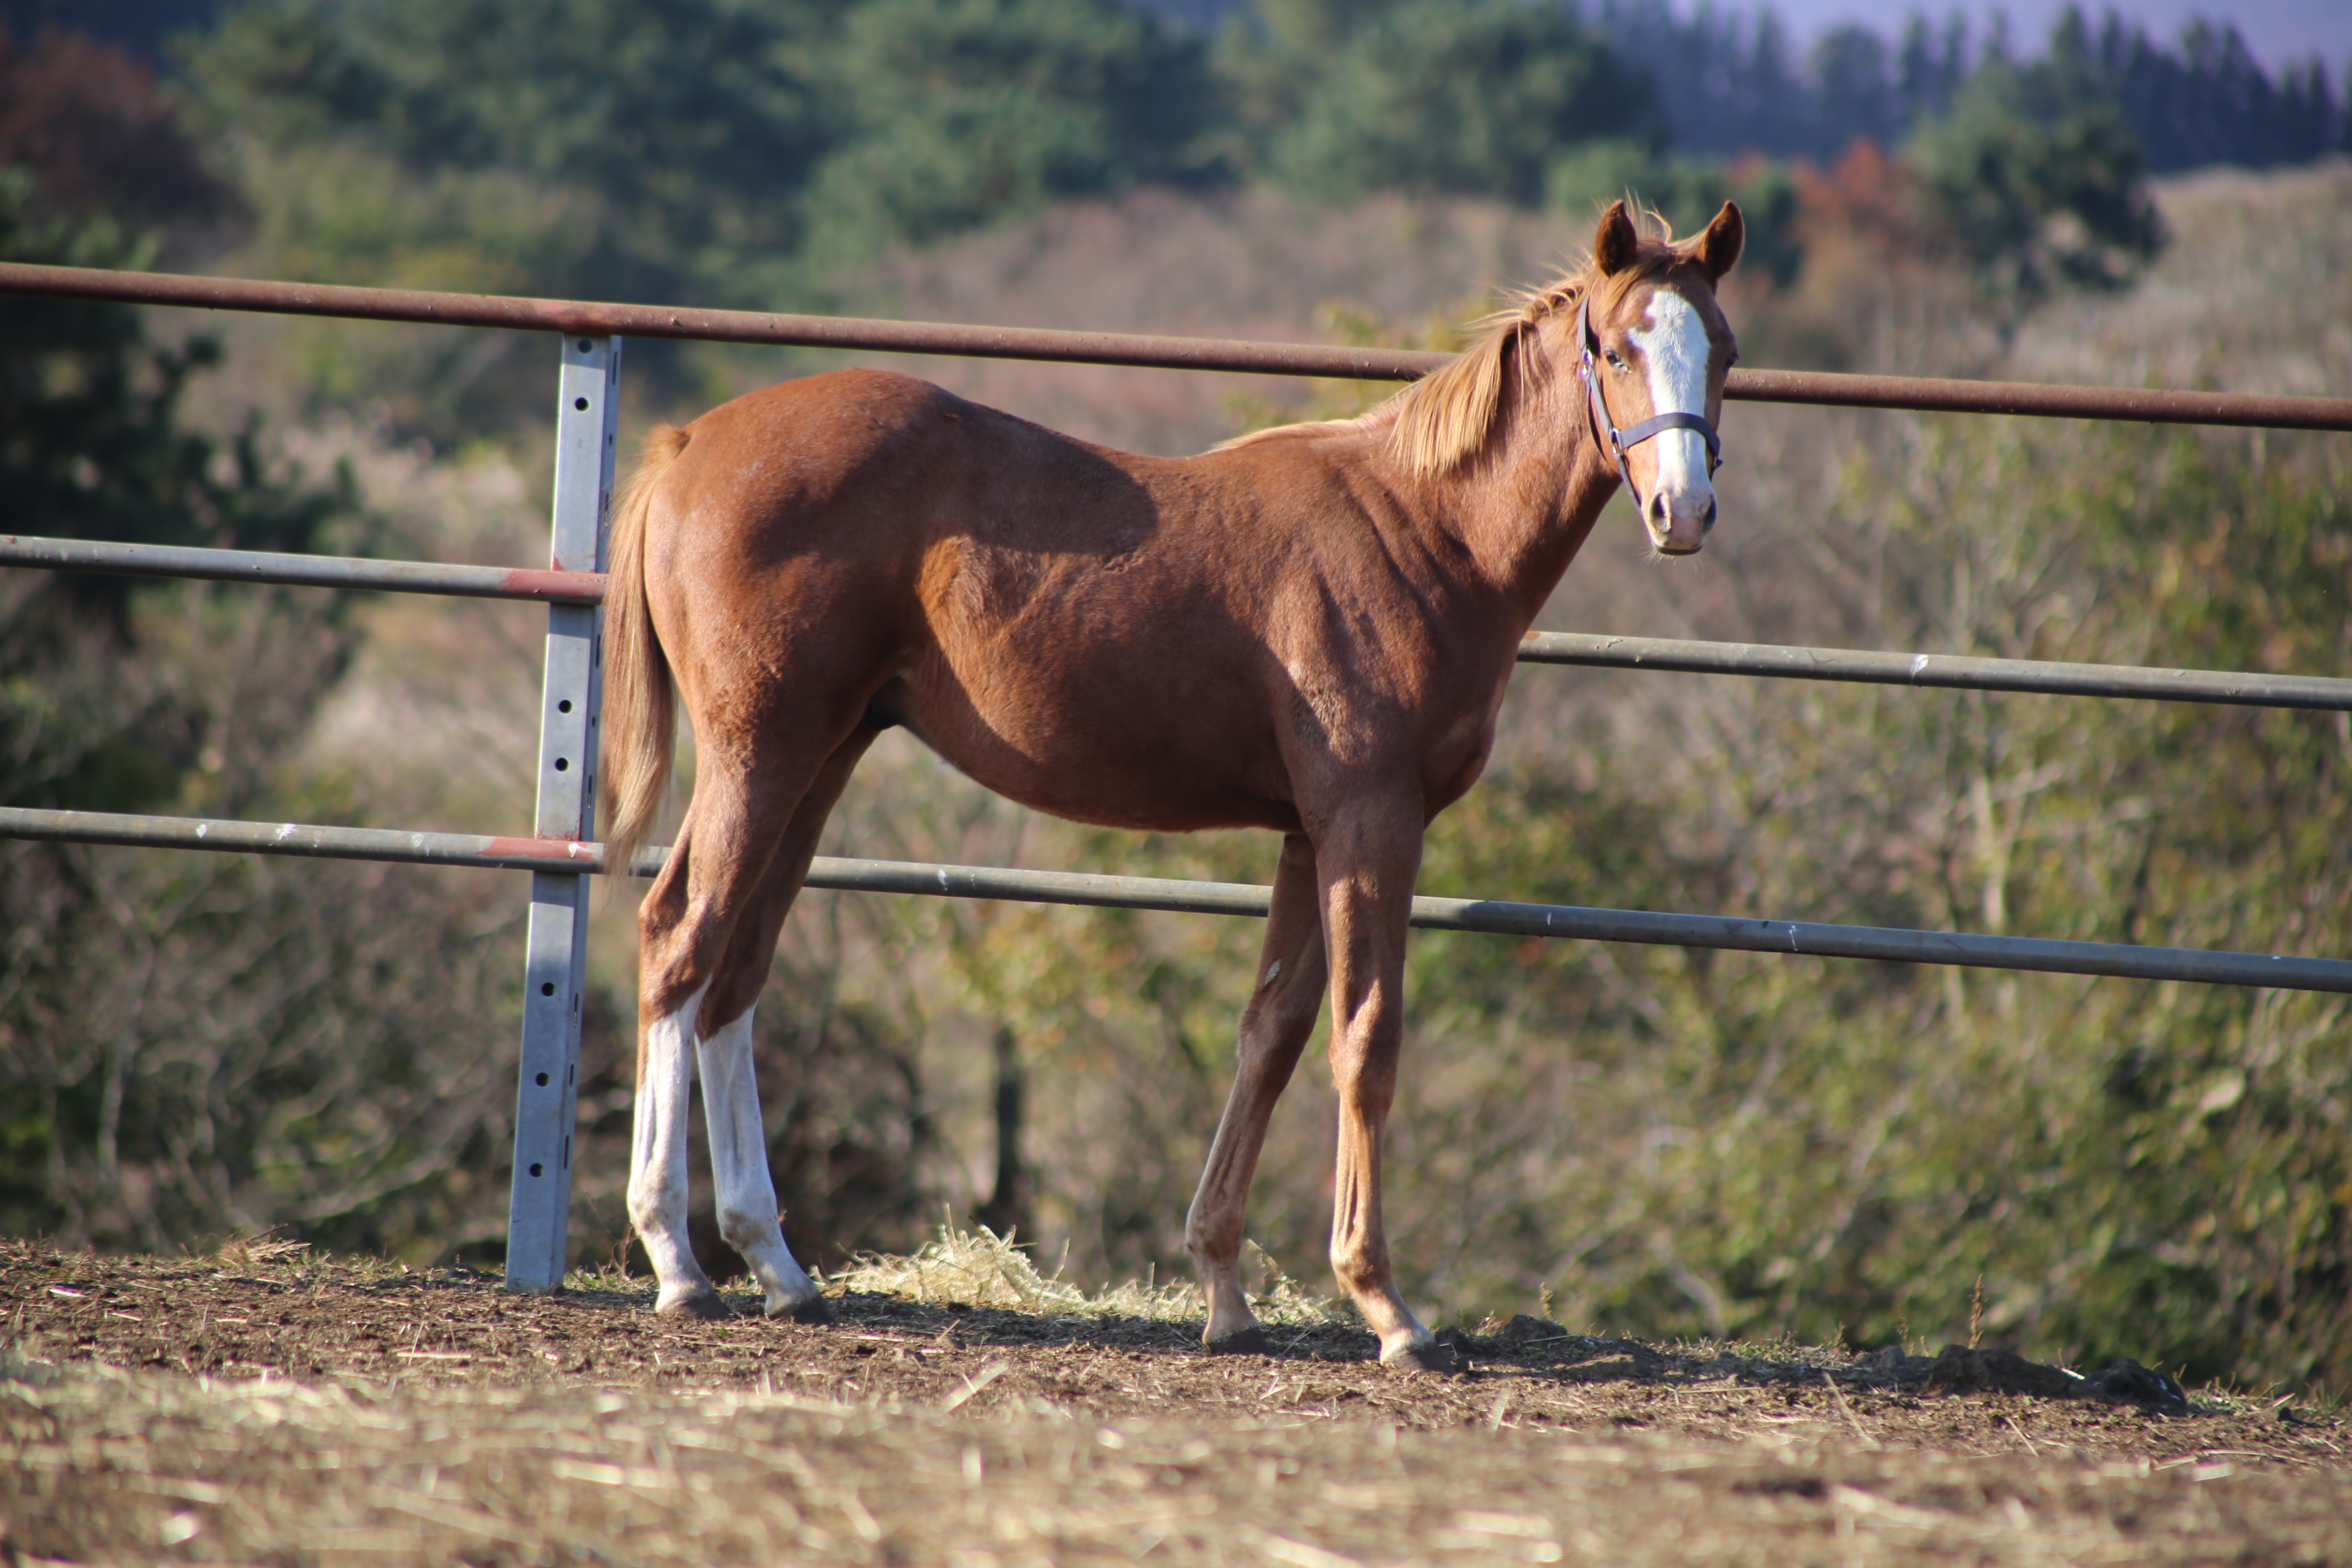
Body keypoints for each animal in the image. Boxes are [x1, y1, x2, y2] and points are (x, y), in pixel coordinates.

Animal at [602, 200, 1750, 1373]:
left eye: (1725, 354)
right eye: (1618, 351)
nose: (1686, 510)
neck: (1425, 534)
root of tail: (692, 446)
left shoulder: (1307, 834)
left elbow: (1272, 1035)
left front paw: (1224, 1291)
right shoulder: (1370, 819)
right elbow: (1366, 1040)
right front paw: (1386, 1305)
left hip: (820, 759)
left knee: (736, 975)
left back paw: (775, 1266)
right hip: (760, 753)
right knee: (680, 939)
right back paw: (679, 1261)